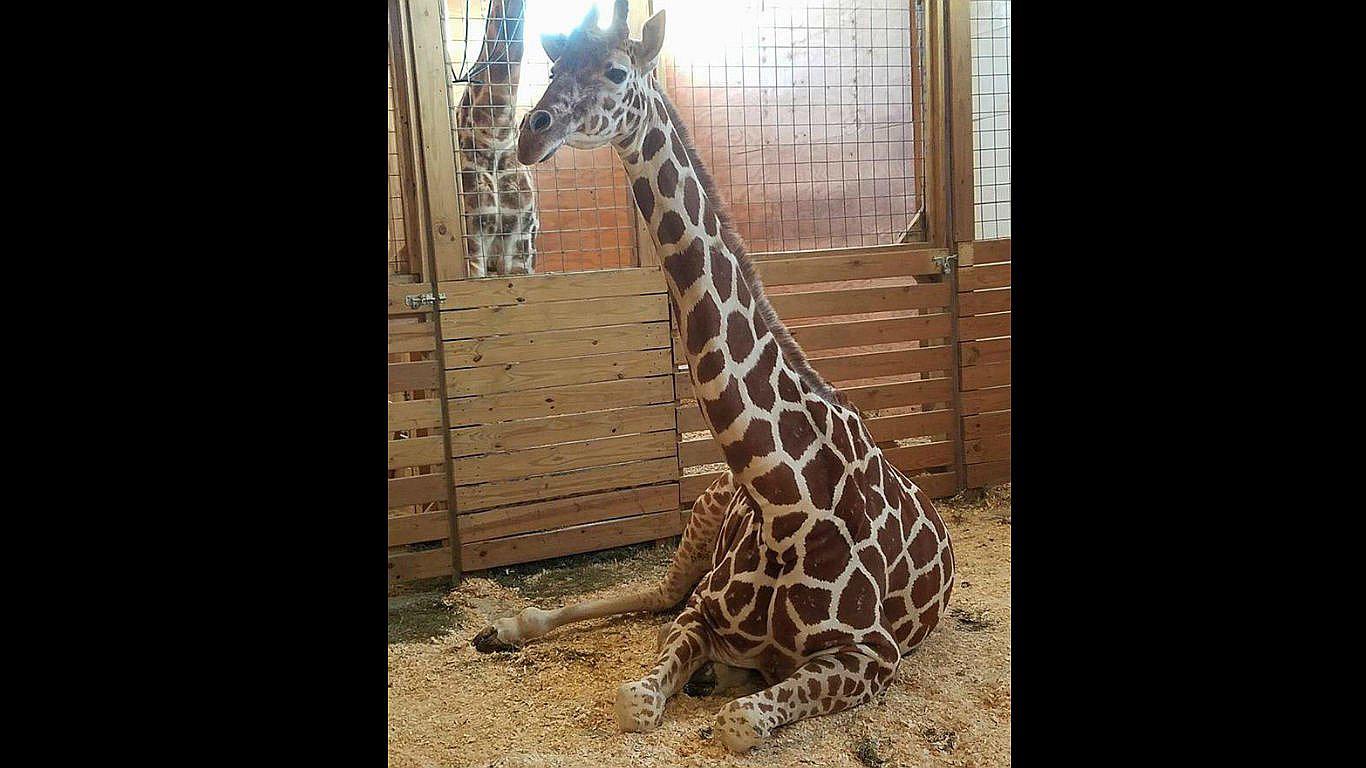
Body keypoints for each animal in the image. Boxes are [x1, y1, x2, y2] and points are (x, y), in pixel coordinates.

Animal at [474, 2, 955, 753]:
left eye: (616, 71)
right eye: (553, 68)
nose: (532, 132)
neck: (782, 501)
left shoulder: (872, 653)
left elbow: (739, 721)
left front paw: (725, 685)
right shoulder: (702, 614)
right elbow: (636, 700)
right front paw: (704, 677)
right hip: (699, 519)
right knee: (660, 590)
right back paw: (503, 628)